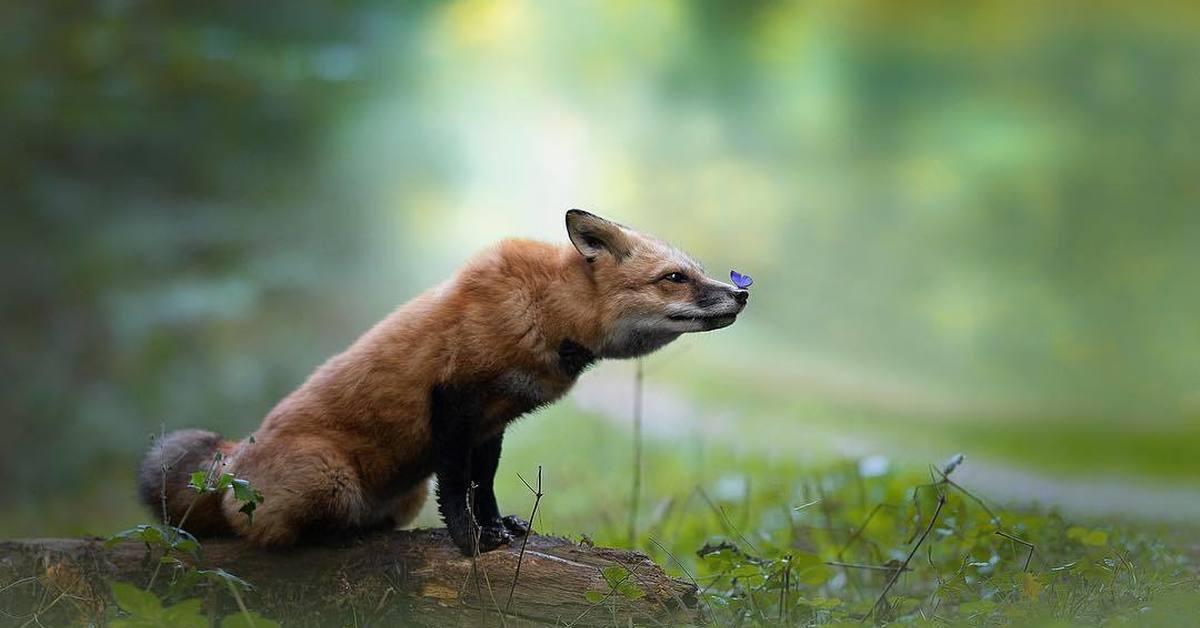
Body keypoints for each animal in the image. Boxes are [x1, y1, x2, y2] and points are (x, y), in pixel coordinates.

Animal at [136, 210, 744, 554]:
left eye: (695, 271)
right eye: (674, 278)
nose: (741, 293)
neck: (542, 312)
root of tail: (231, 464)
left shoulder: (492, 422)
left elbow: (484, 486)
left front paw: (498, 529)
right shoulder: (452, 401)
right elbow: (457, 487)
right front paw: (469, 542)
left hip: (401, 494)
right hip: (331, 479)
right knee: (255, 534)